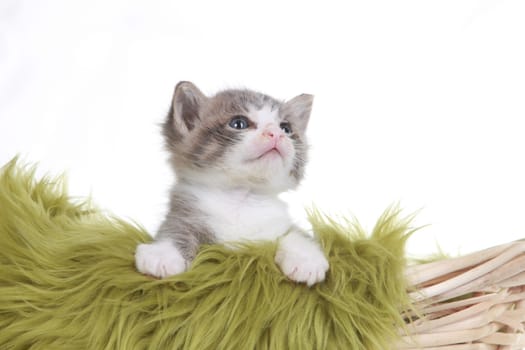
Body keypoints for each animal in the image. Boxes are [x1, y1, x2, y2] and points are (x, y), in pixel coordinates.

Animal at [137, 82, 330, 288]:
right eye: (239, 124)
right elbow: (175, 228)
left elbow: (295, 233)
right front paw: (162, 253)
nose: (277, 134)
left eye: (286, 128)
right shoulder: (186, 212)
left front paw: (307, 260)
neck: (241, 197)